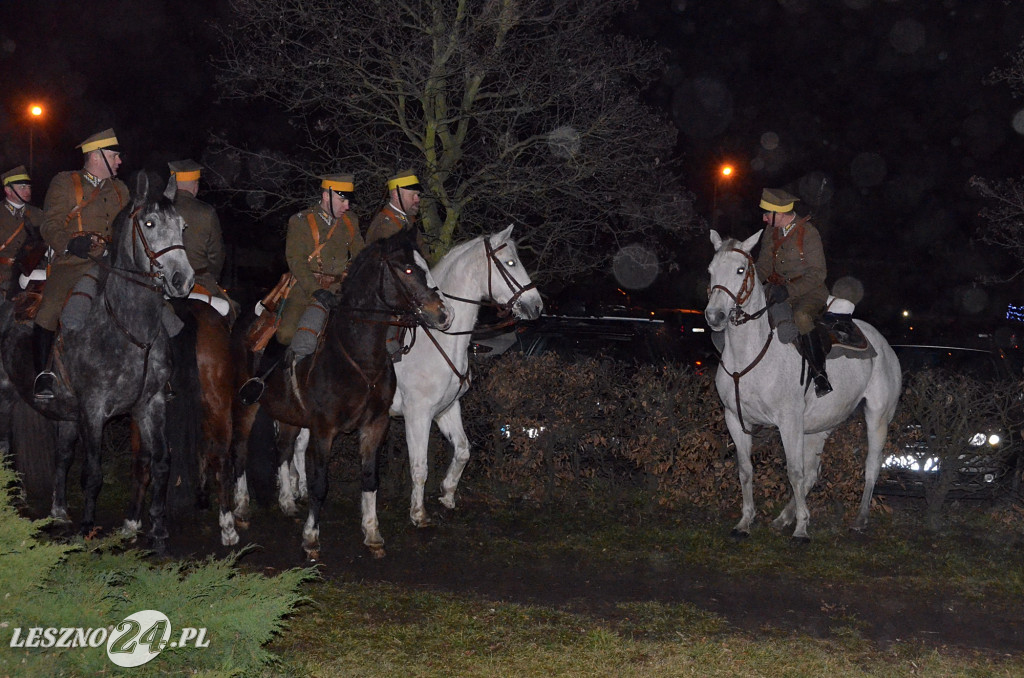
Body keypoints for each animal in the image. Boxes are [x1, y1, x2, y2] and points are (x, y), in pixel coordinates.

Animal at [0, 173, 193, 548]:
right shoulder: (93, 409)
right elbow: (93, 472)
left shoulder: (151, 403)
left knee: (62, 456)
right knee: (5, 447)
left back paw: (59, 511)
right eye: (149, 223)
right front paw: (88, 527)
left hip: (65, 413)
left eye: (182, 225)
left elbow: (160, 462)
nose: (183, 280)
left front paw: (157, 531)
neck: (129, 328)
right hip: (6, 396)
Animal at [235, 231, 452, 561]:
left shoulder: (375, 425)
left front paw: (372, 533)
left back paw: (286, 503)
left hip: (288, 416)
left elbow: (370, 477)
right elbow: (319, 483)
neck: (356, 355)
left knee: (282, 451)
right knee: (239, 452)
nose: (443, 314)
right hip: (244, 408)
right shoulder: (324, 429)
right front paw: (311, 538)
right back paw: (241, 508)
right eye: (408, 269)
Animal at [708, 231, 901, 544]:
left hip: (878, 416)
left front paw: (801, 530)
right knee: (813, 472)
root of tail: (883, 344)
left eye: (740, 270)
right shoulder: (735, 419)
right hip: (820, 424)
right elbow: (746, 470)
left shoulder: (789, 422)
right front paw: (745, 522)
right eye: (711, 270)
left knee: (871, 465)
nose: (714, 316)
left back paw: (860, 519)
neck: (749, 355)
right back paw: (783, 517)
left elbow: (794, 472)